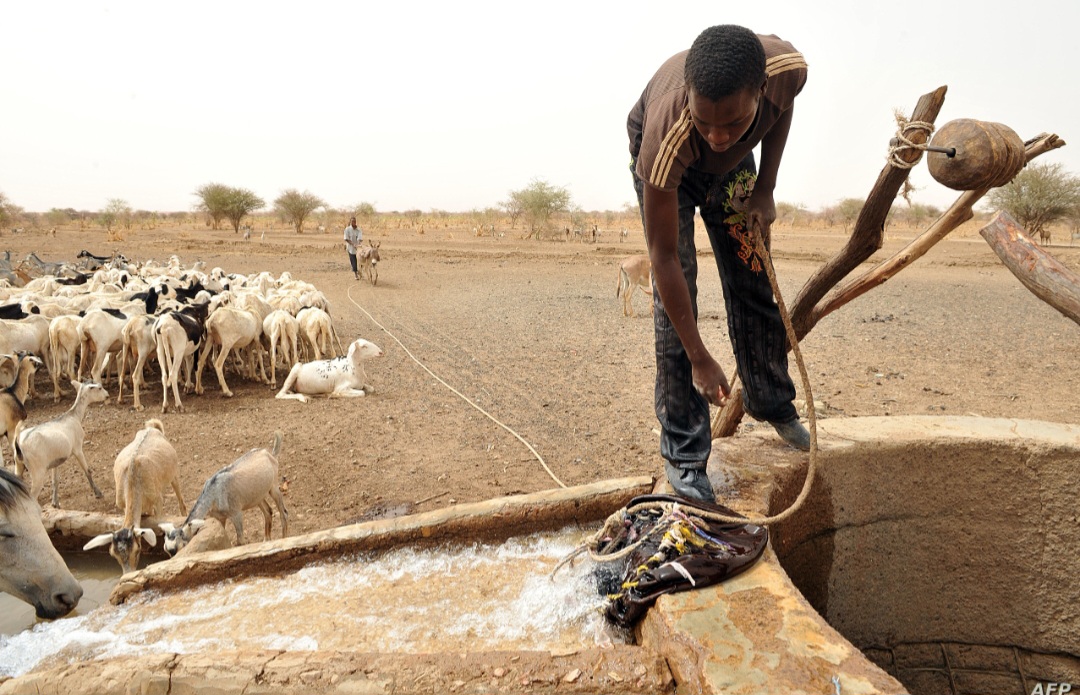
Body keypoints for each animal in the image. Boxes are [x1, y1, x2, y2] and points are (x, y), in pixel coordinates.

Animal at [83, 419, 187, 573]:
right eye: (113, 554)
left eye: (137, 551)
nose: (127, 574)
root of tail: (151, 427)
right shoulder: (122, 505)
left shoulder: (158, 500)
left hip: (174, 473)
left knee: (181, 501)